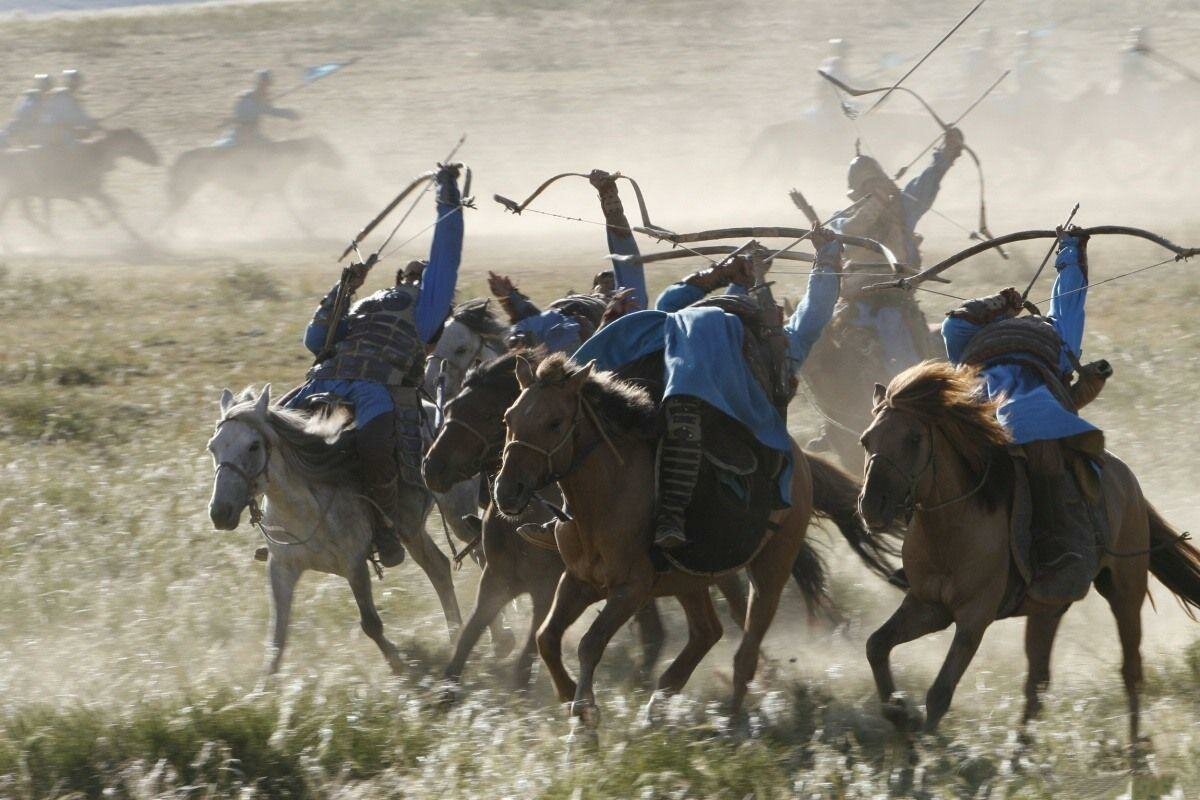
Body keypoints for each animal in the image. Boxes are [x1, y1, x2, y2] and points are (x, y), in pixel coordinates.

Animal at [0, 126, 159, 241]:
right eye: (141, 141)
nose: (157, 158)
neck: (96, 155)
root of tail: (9, 155)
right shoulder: (87, 190)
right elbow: (110, 206)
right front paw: (99, 223)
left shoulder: (90, 191)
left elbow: (112, 205)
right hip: (20, 192)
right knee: (25, 213)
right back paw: (53, 235)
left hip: (18, 194)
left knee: (20, 212)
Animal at [165, 136, 343, 230]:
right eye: (327, 149)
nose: (343, 163)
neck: (286, 155)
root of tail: (180, 158)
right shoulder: (275, 188)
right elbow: (291, 210)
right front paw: (307, 230)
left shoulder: (268, 190)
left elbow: (252, 211)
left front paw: (241, 228)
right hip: (187, 188)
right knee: (173, 209)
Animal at [207, 386, 463, 676]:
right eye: (213, 447)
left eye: (253, 445)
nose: (220, 512)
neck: (303, 507)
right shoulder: (281, 567)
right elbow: (277, 637)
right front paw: (265, 685)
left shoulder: (354, 566)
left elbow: (371, 624)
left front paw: (398, 665)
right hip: (414, 531)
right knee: (438, 568)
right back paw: (457, 636)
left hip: (456, 514)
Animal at [489, 357, 902, 724]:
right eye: (509, 418)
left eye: (554, 422)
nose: (507, 492)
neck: (606, 497)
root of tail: (799, 460)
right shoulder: (579, 581)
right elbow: (546, 638)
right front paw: (568, 697)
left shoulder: (631, 589)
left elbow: (590, 643)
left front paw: (585, 713)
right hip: (690, 579)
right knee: (708, 632)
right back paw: (659, 704)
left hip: (770, 570)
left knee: (744, 651)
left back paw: (731, 723)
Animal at [854, 359, 1200, 748]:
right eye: (866, 440)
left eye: (913, 439)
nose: (872, 505)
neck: (951, 528)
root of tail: (1125, 476)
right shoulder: (928, 606)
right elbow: (876, 645)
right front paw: (899, 715)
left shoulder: (974, 617)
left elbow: (940, 691)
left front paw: (926, 752)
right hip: (1047, 609)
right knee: (1037, 684)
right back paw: (1020, 755)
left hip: (1125, 591)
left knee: (1130, 670)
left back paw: (1135, 752)